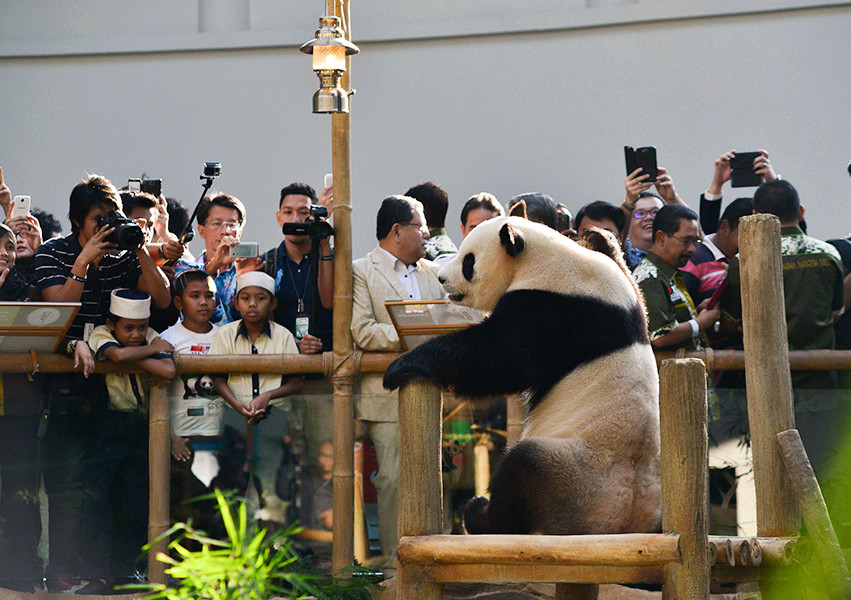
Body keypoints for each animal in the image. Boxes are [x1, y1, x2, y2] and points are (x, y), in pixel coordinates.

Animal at [382, 216, 664, 536]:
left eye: (469, 261)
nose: (441, 278)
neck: (545, 259)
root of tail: (627, 521)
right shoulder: (624, 298)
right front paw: (599, 237)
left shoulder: (553, 309)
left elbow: (502, 355)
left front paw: (403, 365)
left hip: (575, 476)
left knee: (521, 468)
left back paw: (478, 513)